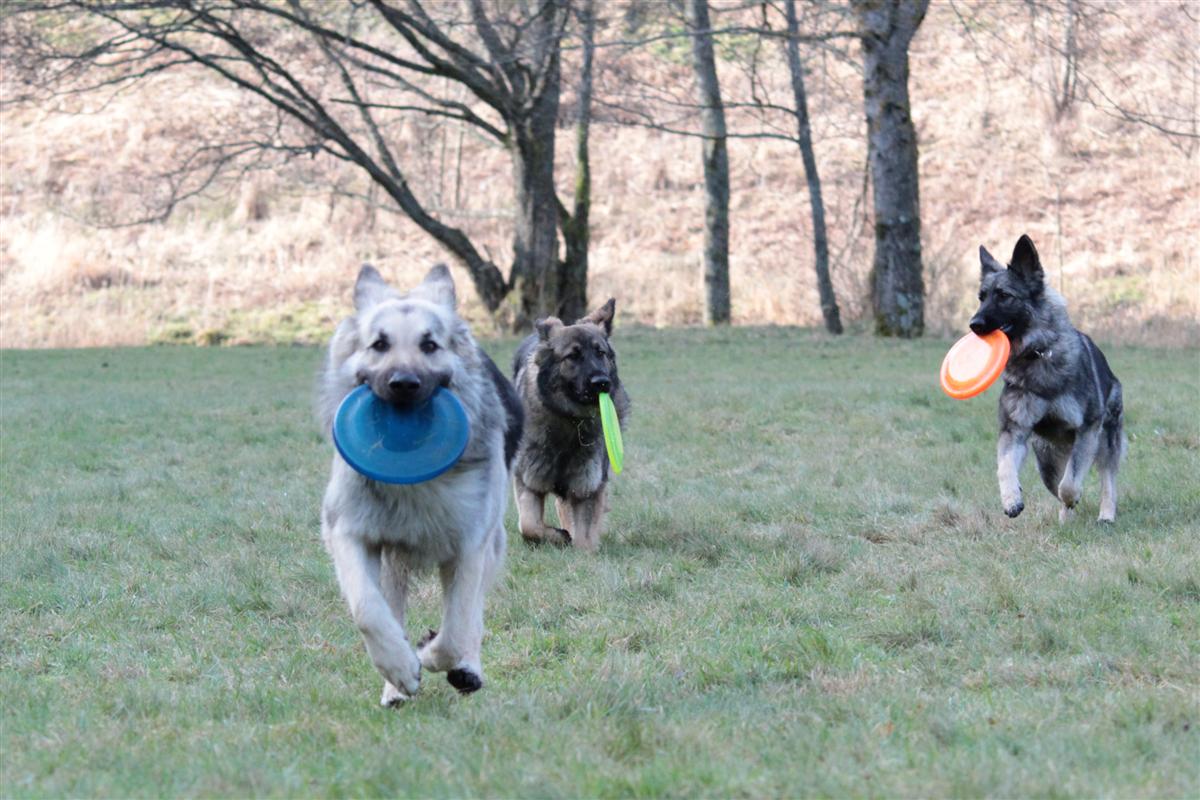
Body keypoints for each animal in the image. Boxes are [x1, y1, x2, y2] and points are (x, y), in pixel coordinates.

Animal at [511, 299, 633, 551]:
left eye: (600, 353)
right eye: (572, 357)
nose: (602, 382)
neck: (569, 422)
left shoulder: (587, 486)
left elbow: (584, 538)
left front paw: (580, 549)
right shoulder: (528, 481)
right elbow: (529, 526)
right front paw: (559, 536)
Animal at [964, 235, 1123, 522]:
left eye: (1004, 296)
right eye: (981, 298)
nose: (974, 325)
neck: (1036, 354)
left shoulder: (1088, 429)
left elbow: (1070, 484)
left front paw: (1075, 497)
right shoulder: (1013, 431)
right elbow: (1004, 466)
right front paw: (1011, 499)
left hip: (1106, 441)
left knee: (1107, 479)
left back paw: (1105, 515)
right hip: (1046, 462)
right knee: (1056, 483)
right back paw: (1065, 520)